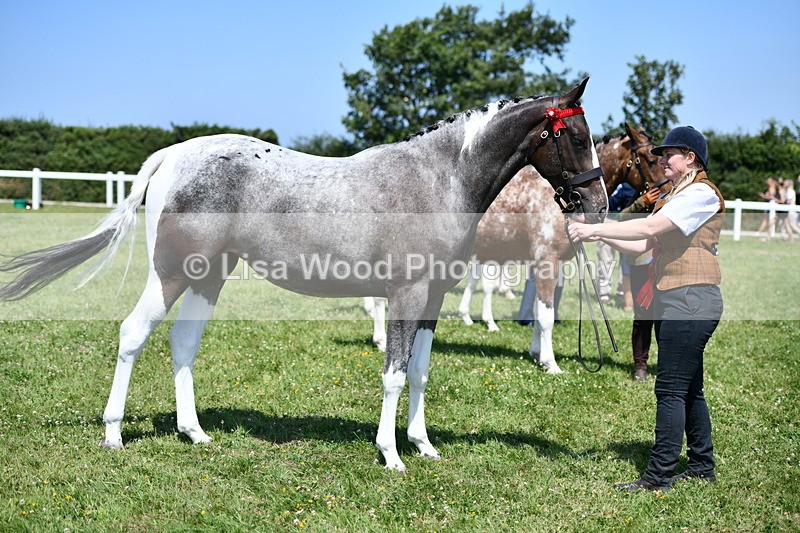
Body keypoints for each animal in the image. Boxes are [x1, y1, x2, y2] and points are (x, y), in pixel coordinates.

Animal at [0, 78, 606, 471]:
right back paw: (114, 436)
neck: (439, 180)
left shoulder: (432, 298)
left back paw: (195, 433)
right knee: (133, 333)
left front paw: (422, 445)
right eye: (577, 138)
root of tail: (174, 155)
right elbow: (393, 373)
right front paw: (391, 455)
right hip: (170, 274)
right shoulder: (406, 294)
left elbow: (419, 373)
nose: (597, 205)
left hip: (208, 277)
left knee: (182, 344)